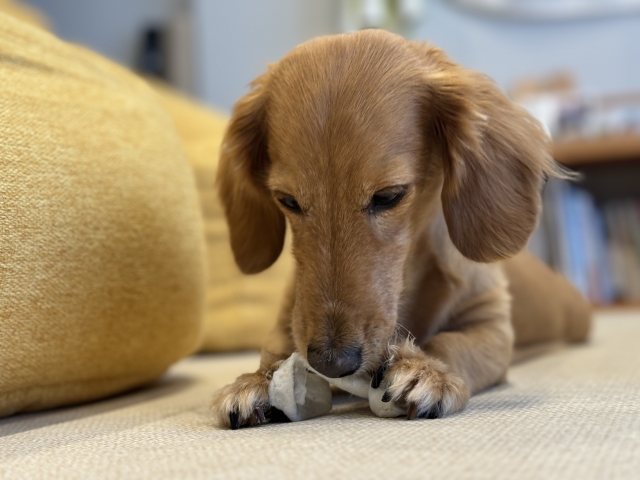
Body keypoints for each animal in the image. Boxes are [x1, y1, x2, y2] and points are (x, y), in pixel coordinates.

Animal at [212, 29, 592, 428]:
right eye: (286, 200)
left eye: (388, 196)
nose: (331, 363)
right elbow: (273, 354)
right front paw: (258, 381)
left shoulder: (492, 326)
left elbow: (452, 343)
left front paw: (426, 371)